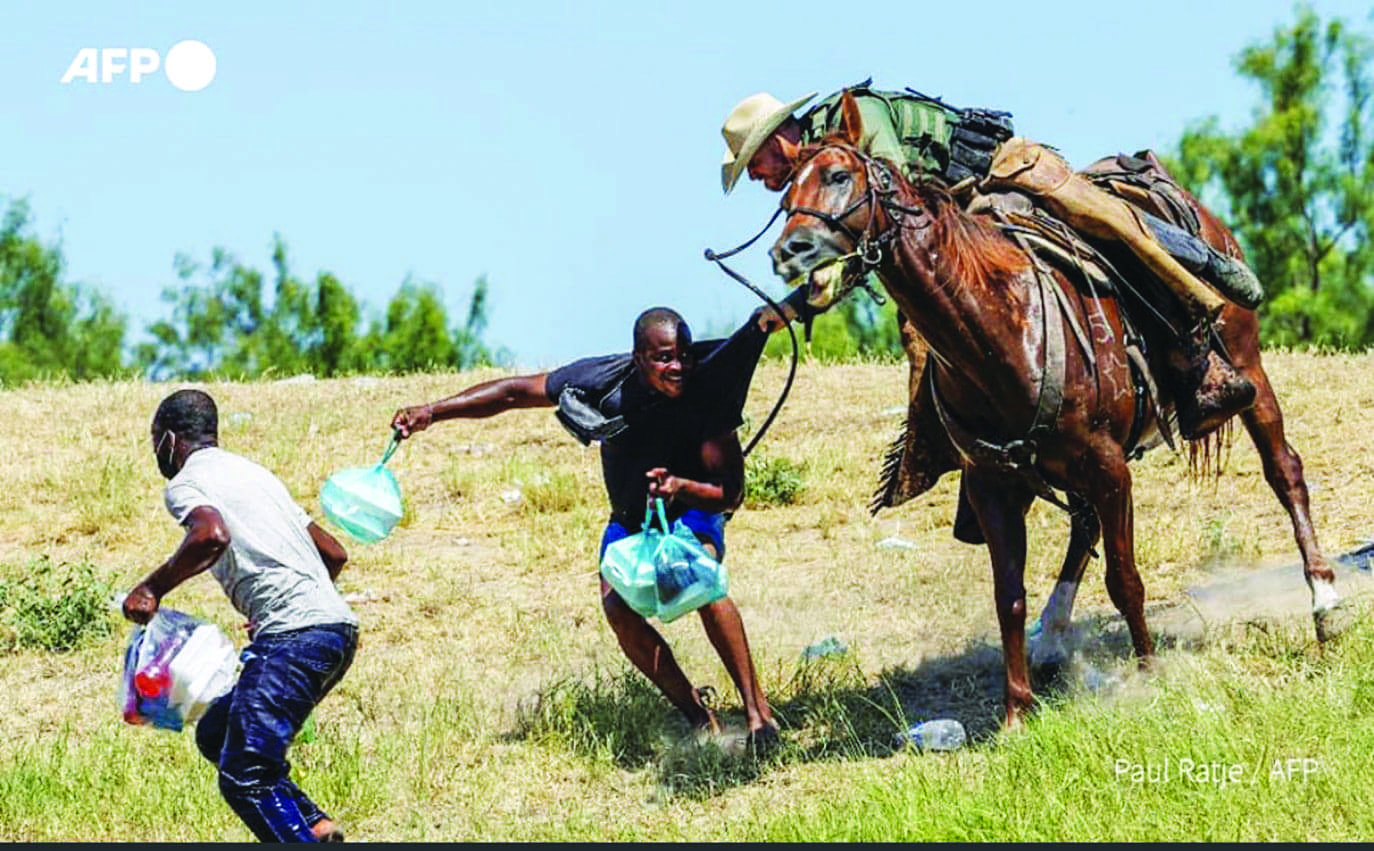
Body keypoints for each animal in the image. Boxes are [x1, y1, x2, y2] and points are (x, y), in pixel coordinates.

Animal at [769, 91, 1346, 731]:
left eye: (839, 176)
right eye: (785, 194)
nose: (789, 251)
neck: (999, 327)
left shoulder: (1109, 467)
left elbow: (1124, 578)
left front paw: (1148, 674)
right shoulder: (994, 484)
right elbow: (1009, 596)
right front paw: (1016, 712)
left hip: (1248, 371)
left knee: (1284, 471)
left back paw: (1324, 602)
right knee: (1083, 525)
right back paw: (1052, 637)